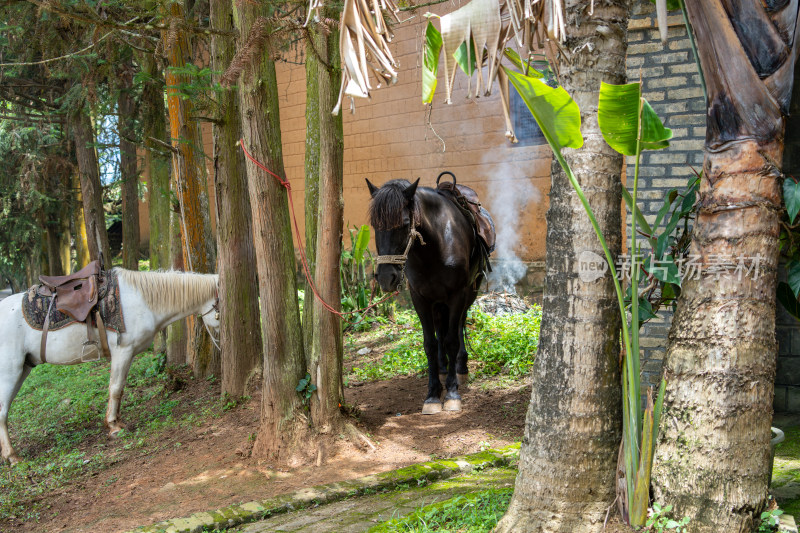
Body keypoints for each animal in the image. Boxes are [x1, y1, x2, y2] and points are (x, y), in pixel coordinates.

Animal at [0, 268, 220, 464]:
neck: (142, 301)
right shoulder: (122, 352)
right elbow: (115, 387)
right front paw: (114, 426)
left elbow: (120, 389)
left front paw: (117, 421)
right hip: (10, 372)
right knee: (2, 411)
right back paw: (12, 456)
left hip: (23, 369)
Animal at [368, 177, 488, 414]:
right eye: (375, 225)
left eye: (405, 223)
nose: (386, 278)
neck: (436, 246)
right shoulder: (420, 299)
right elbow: (430, 343)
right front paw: (433, 394)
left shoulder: (457, 295)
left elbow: (452, 340)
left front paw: (451, 393)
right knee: (441, 329)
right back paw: (443, 367)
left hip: (471, 289)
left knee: (459, 325)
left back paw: (460, 367)